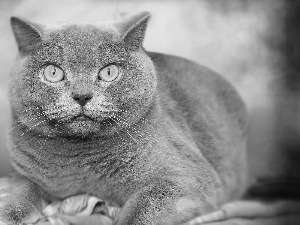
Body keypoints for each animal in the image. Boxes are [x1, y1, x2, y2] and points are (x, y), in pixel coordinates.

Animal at [0, 11, 247, 225]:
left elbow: (142, 207)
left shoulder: (190, 179)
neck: (80, 163)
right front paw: (9, 214)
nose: (82, 95)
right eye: (53, 72)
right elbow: (22, 191)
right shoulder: (21, 175)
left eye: (109, 72)